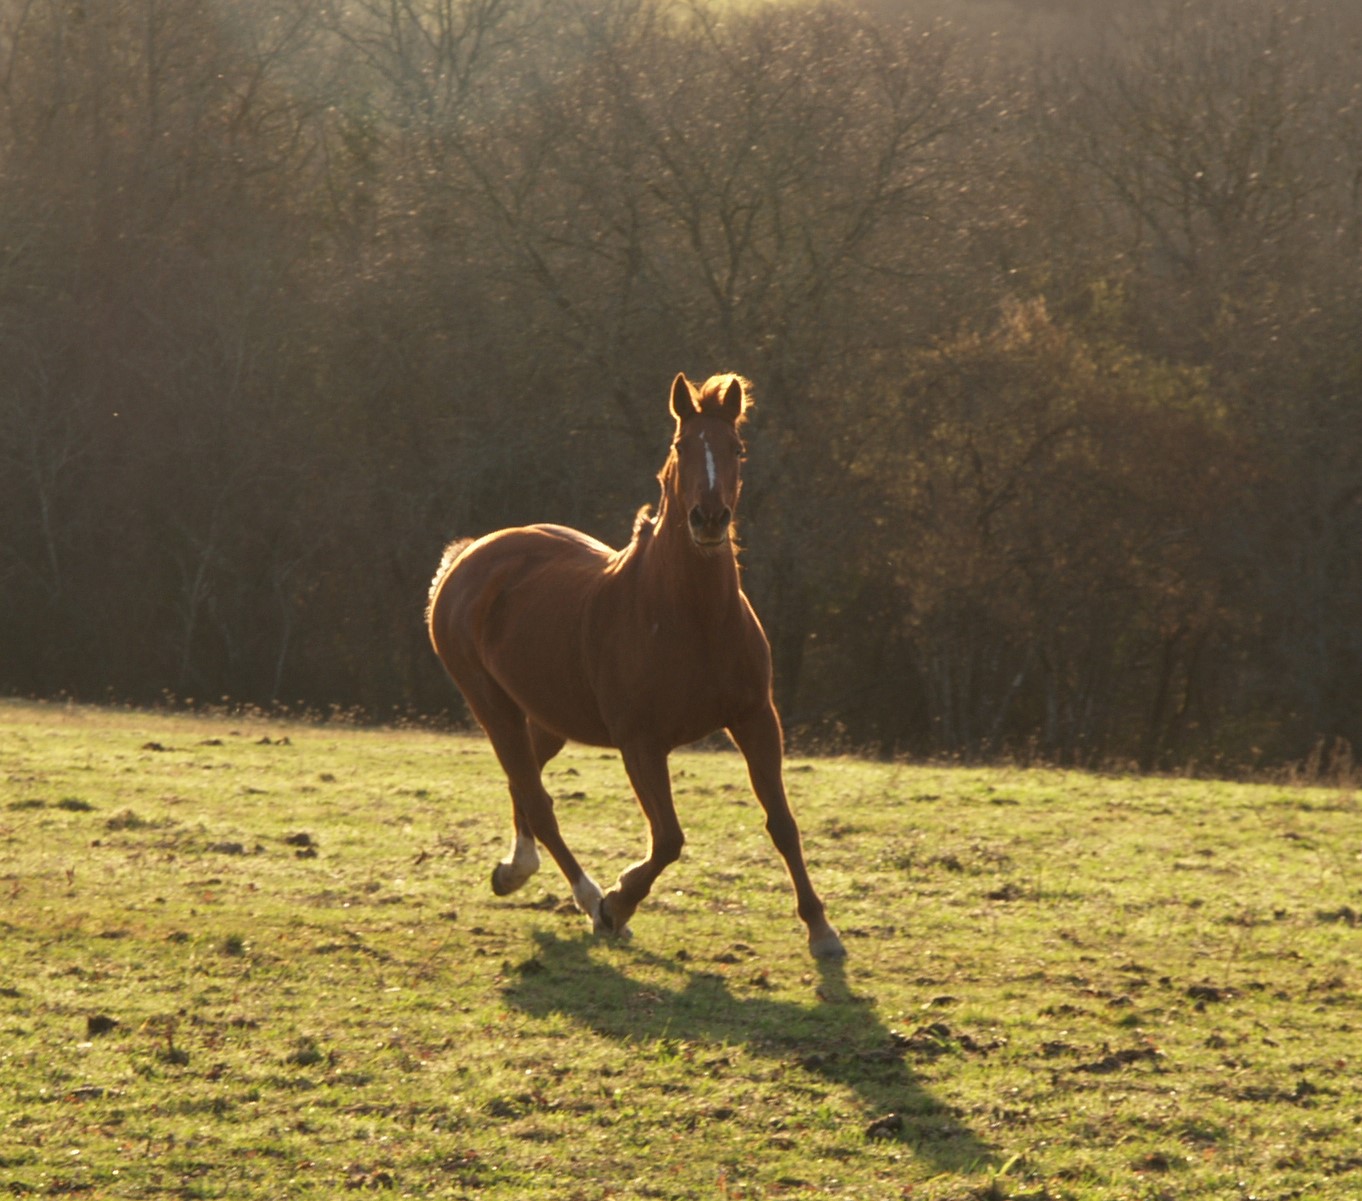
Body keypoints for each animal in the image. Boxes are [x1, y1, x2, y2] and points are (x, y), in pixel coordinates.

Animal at [430, 370, 844, 958]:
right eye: (680, 446)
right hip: (492, 706)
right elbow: (668, 838)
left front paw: (822, 930)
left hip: (550, 716)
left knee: (524, 786)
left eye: (737, 449)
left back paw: (515, 870)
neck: (692, 617)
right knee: (537, 800)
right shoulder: (641, 742)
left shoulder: (756, 720)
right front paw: (618, 903)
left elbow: (782, 823)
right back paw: (588, 900)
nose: (709, 519)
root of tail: (465, 557)